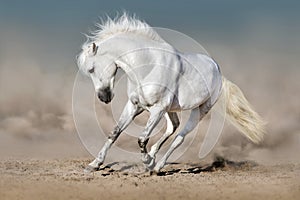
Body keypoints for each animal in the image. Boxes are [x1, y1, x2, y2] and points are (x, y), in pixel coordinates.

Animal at [77, 14, 264, 173]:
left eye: (91, 68)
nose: (104, 97)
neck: (148, 67)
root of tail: (218, 71)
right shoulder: (135, 106)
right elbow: (115, 132)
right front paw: (94, 164)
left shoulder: (157, 109)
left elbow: (142, 138)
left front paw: (147, 162)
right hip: (170, 110)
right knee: (173, 126)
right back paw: (154, 156)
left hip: (200, 110)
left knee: (179, 137)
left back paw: (158, 166)